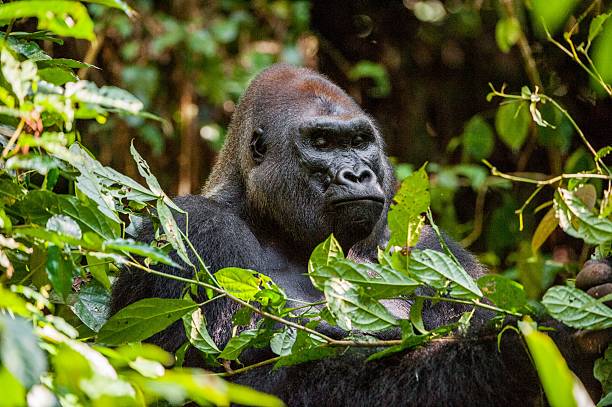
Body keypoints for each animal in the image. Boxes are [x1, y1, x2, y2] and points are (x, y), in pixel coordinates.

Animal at [112, 65, 608, 406]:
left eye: (358, 142)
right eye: (322, 144)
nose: (357, 173)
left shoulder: (431, 250)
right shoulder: (191, 229)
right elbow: (243, 378)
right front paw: (525, 348)